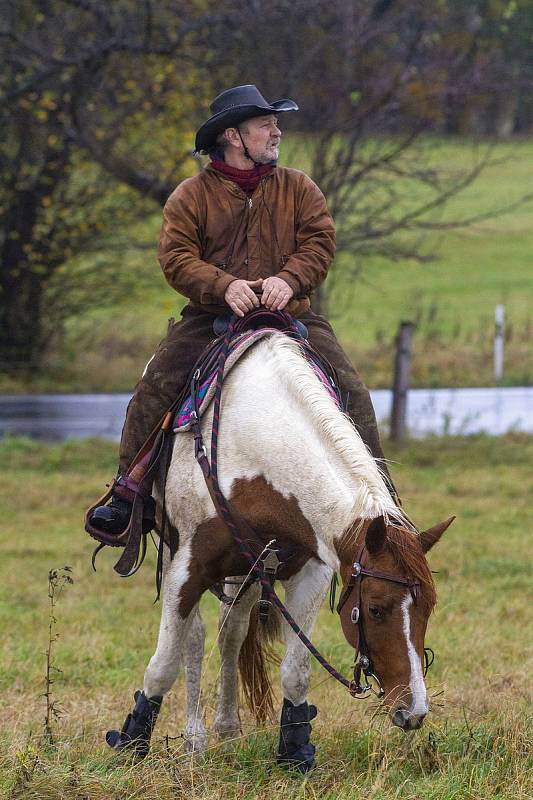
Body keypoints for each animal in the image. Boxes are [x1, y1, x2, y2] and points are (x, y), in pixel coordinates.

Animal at [109, 332, 454, 768]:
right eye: (375, 609)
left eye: (428, 607)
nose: (414, 710)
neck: (258, 443)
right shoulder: (189, 567)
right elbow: (165, 662)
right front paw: (131, 742)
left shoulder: (311, 570)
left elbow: (296, 670)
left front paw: (295, 750)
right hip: (177, 552)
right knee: (196, 636)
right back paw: (195, 737)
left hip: (245, 571)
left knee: (232, 632)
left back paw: (227, 727)